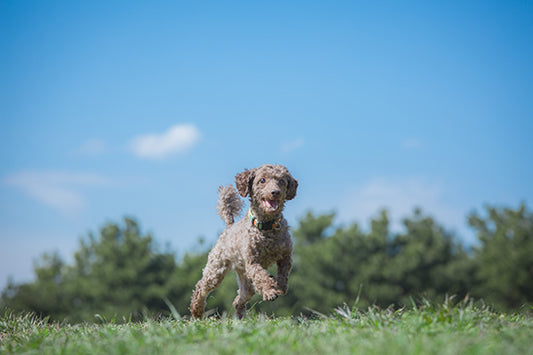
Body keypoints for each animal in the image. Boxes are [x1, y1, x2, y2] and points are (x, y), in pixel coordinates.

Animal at [189, 165, 298, 320]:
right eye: (262, 180)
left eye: (282, 181)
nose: (275, 192)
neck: (267, 227)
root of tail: (229, 227)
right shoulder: (252, 262)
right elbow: (260, 276)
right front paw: (270, 291)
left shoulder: (285, 256)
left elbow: (283, 277)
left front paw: (278, 286)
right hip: (216, 270)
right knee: (201, 286)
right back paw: (197, 311)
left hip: (244, 279)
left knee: (239, 298)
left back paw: (240, 317)